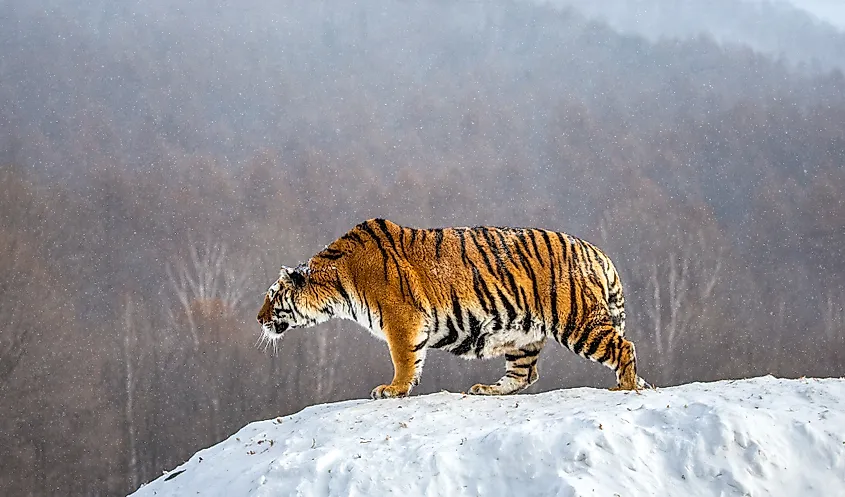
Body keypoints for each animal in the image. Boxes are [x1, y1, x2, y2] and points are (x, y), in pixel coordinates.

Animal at [257, 218, 647, 399]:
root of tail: (597, 252)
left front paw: (393, 389)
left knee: (624, 347)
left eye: (272, 295)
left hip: (576, 320)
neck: (338, 284)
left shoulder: (402, 319)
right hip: (523, 336)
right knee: (524, 375)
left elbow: (404, 358)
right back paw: (487, 389)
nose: (258, 318)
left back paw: (625, 388)